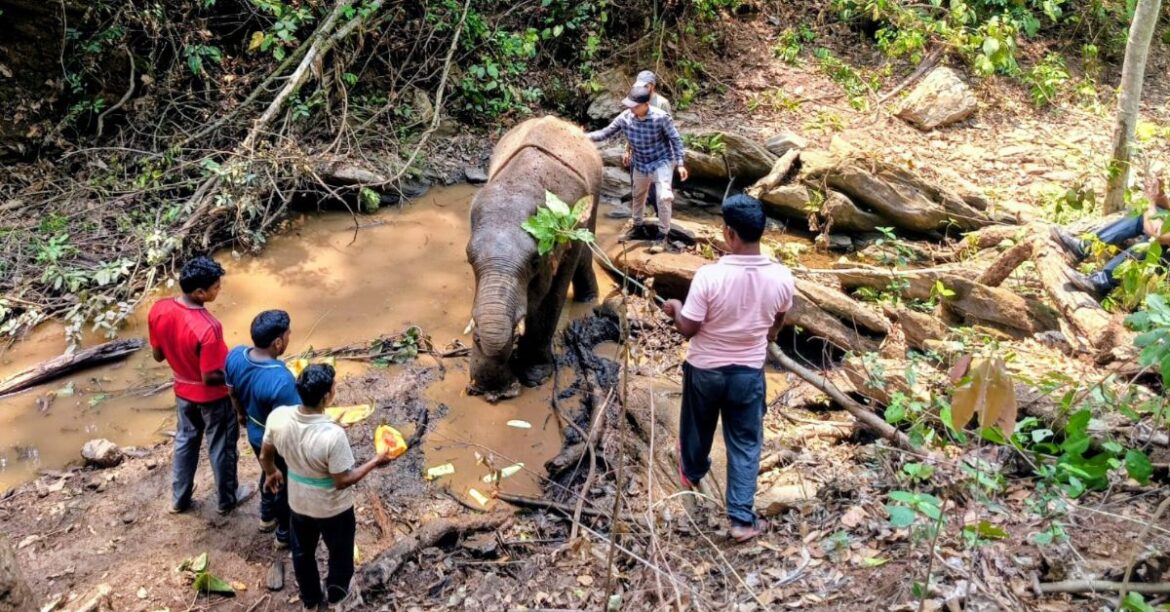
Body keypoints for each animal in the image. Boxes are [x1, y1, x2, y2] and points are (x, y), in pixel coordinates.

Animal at [466, 116, 603, 401]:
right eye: (469, 258)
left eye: (535, 263)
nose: (490, 388)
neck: (523, 182)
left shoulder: (568, 233)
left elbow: (552, 296)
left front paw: (535, 375)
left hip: (593, 198)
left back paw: (588, 299)